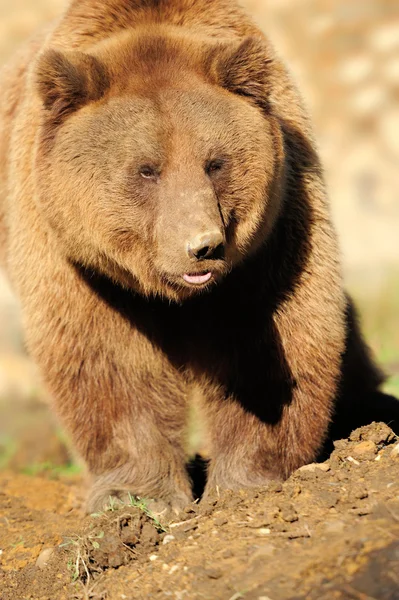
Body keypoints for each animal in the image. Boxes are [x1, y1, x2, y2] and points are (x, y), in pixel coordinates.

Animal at [0, 2, 388, 512]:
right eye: (147, 169)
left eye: (215, 162)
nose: (203, 246)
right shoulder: (80, 263)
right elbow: (109, 360)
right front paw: (136, 494)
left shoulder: (270, 242)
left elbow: (267, 348)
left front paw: (247, 482)